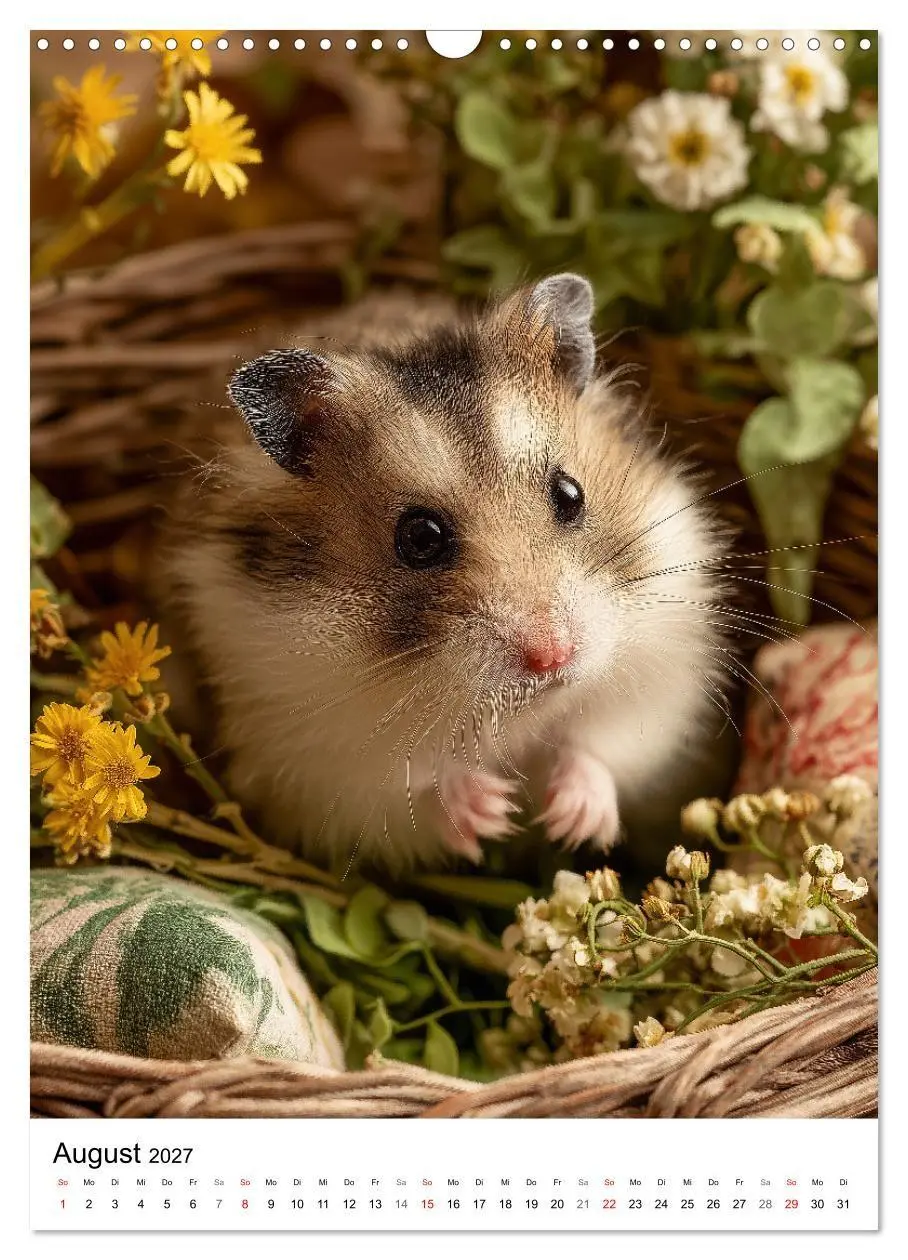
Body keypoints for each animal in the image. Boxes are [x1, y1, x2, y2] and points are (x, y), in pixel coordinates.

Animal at [164, 274, 731, 872]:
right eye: (420, 538)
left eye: (571, 494)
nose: (552, 657)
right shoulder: (312, 760)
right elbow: (409, 795)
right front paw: (495, 811)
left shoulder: (660, 684)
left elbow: (603, 746)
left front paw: (570, 824)